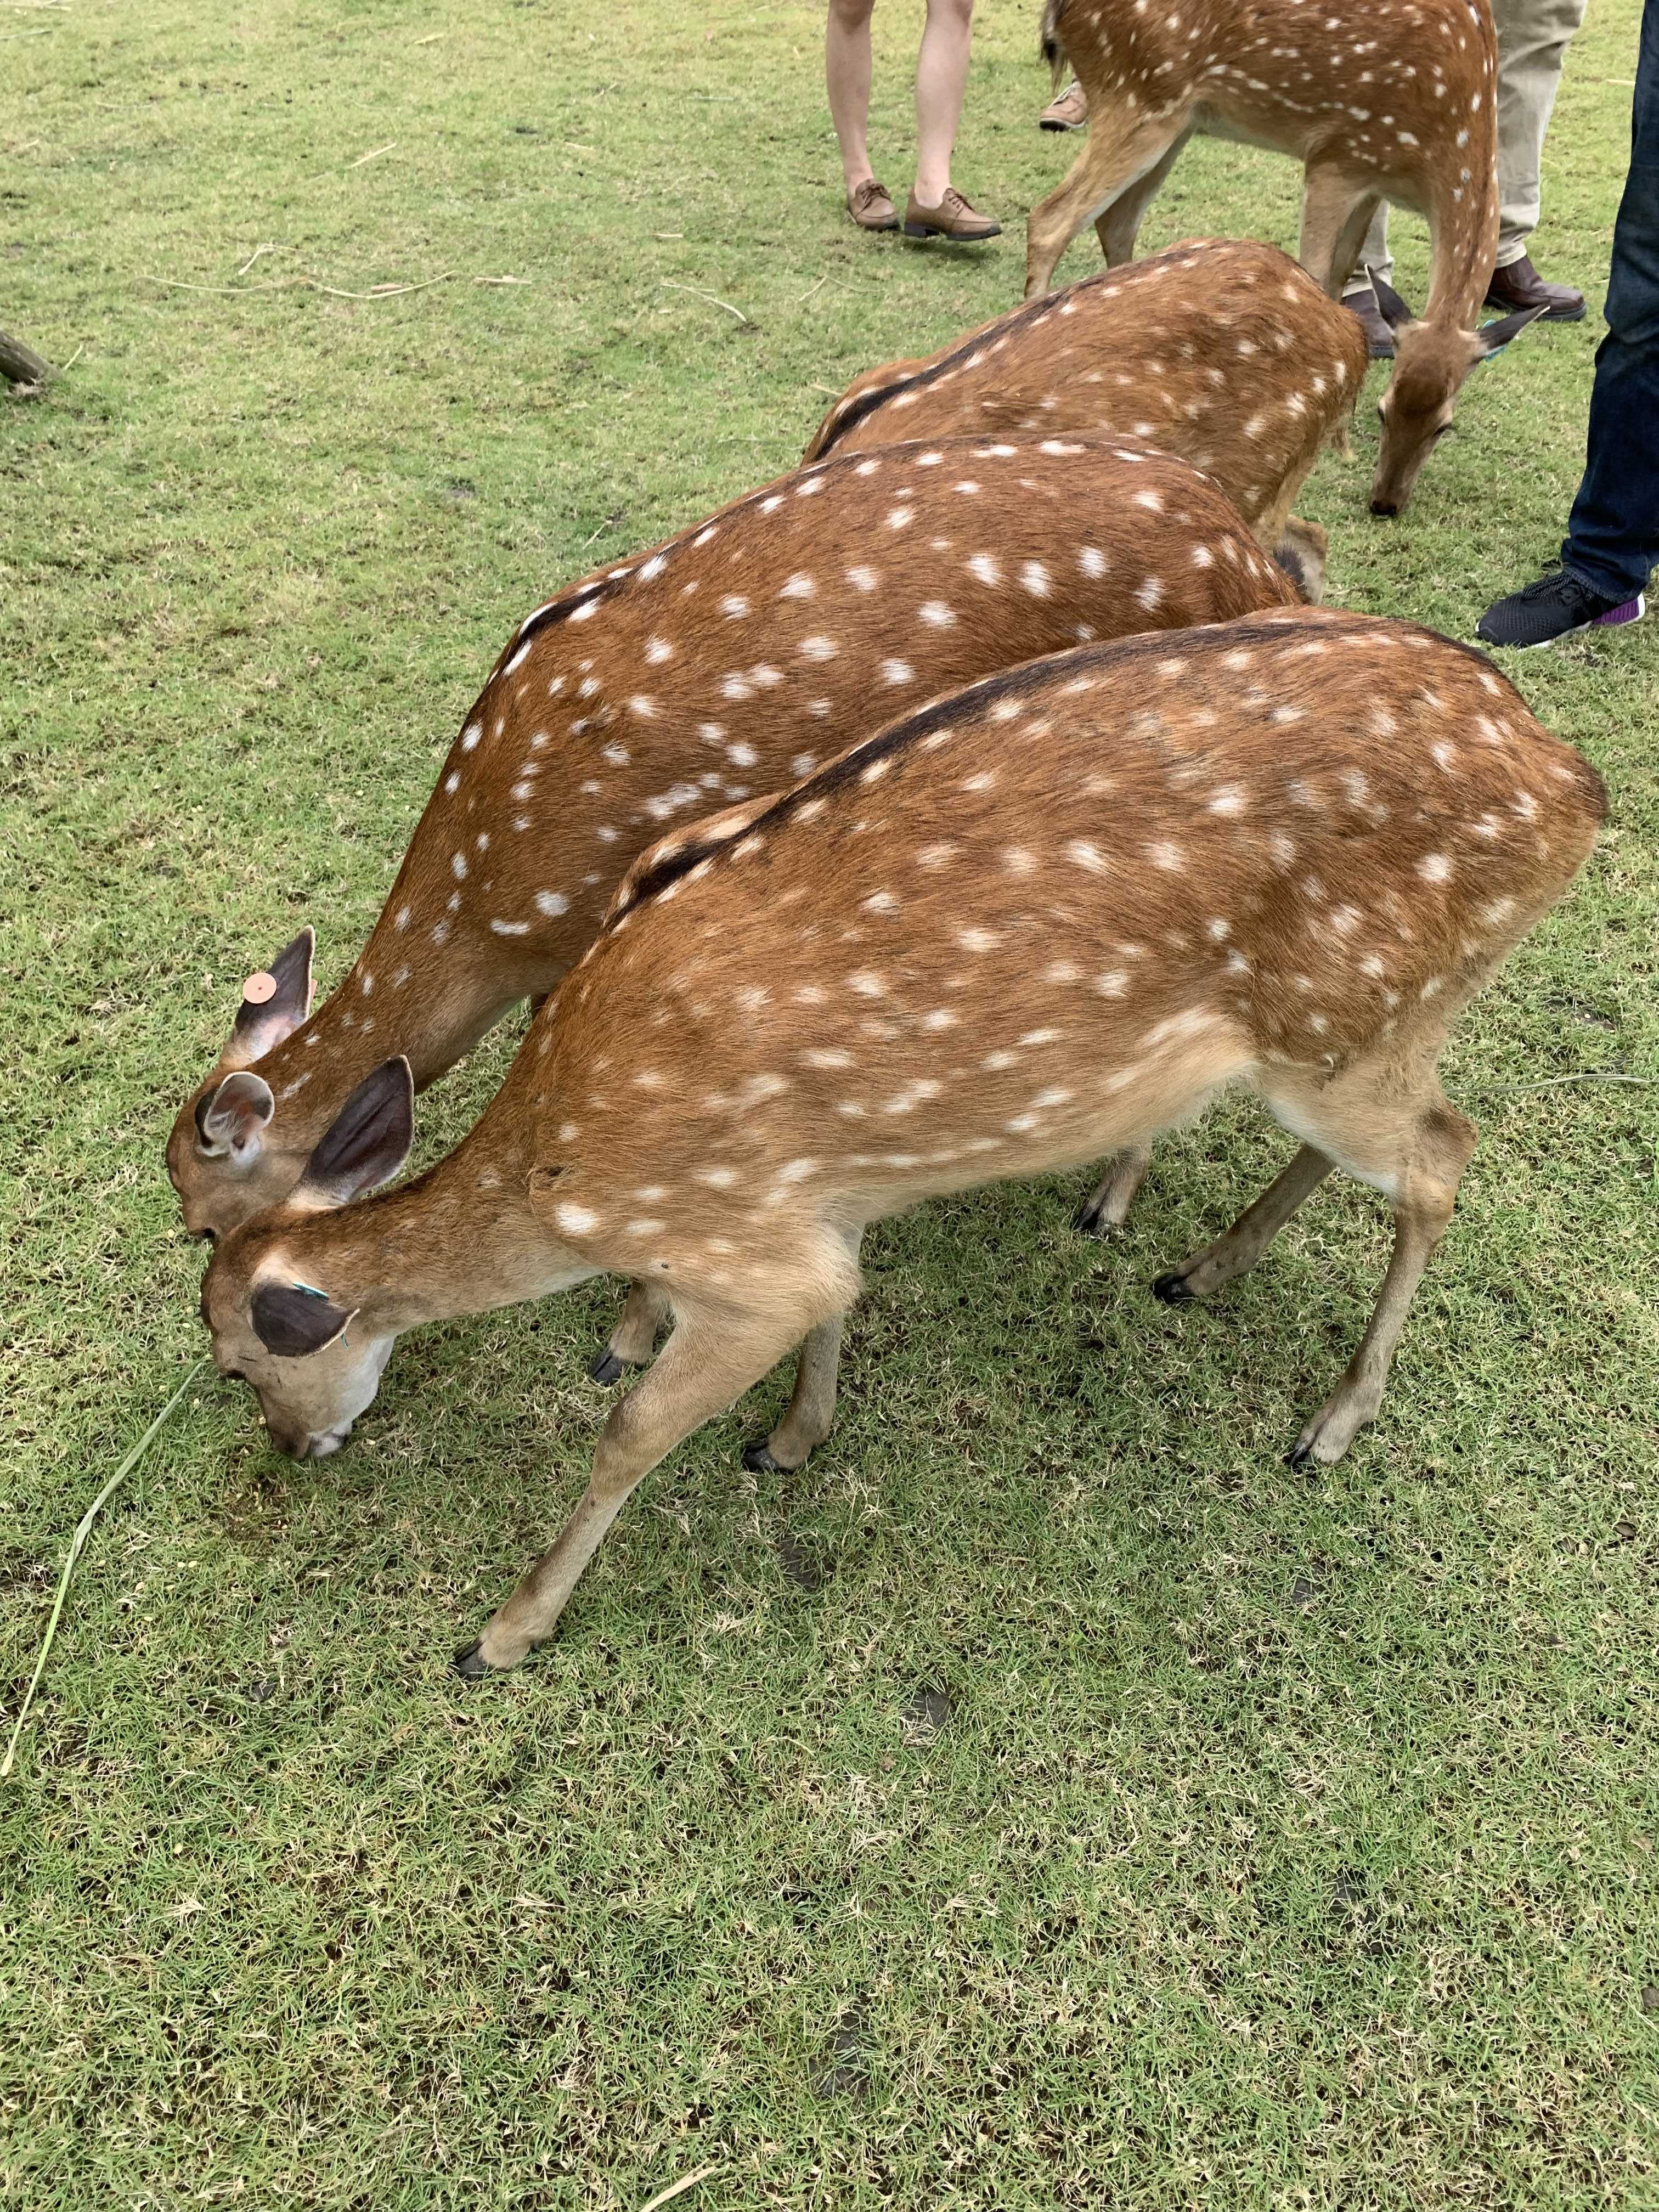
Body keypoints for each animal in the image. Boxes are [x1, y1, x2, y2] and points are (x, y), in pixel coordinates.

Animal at [198, 610, 1610, 1672]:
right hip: (1349, 1036)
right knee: (1406, 1141)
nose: (295, 1451)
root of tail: (1578, 787)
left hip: (1354, 1028)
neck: (563, 1174)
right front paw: (794, 1439)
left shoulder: (738, 1249)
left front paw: (505, 1631)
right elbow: (842, 1297)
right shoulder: (816, 1199)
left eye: (236, 1362)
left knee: (1447, 1156)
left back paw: (1331, 1422)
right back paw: (1205, 1269)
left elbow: (633, 1431)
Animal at [1035, 0, 1557, 513]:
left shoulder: (1372, 184)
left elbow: (1346, 278)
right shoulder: (1335, 158)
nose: (1385, 504)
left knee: (1114, 222)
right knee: (1050, 220)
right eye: (1383, 410)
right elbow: (1319, 278)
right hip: (1138, 97)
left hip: (1180, 119)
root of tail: (1059, 15)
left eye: (1443, 425)